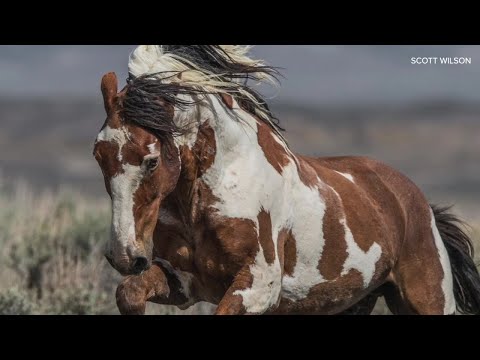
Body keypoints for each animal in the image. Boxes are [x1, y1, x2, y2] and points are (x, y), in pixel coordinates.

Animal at [93, 45, 480, 316]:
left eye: (151, 160)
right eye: (98, 156)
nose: (124, 256)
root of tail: (417, 202)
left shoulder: (259, 286)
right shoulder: (184, 282)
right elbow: (128, 293)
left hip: (426, 298)